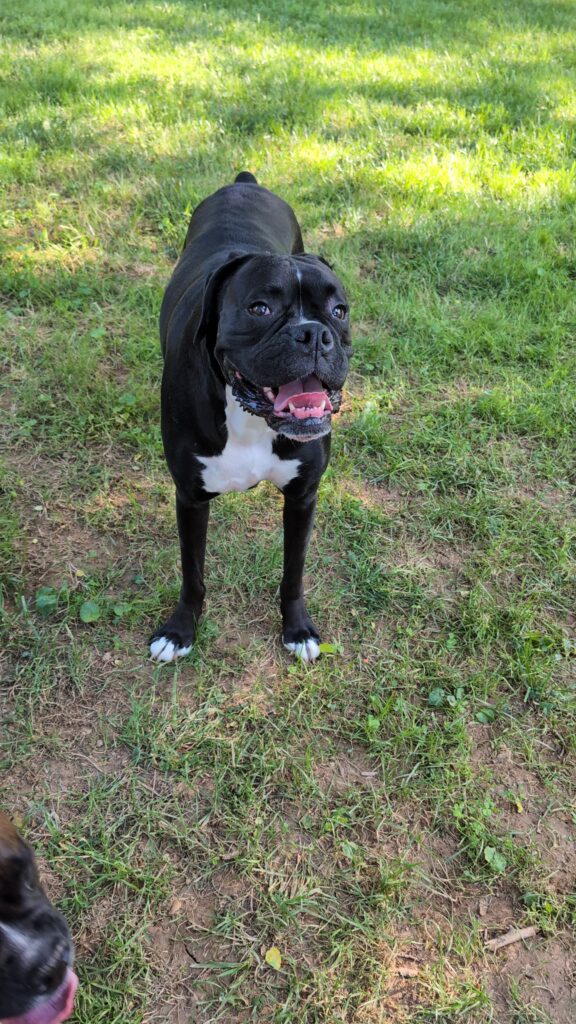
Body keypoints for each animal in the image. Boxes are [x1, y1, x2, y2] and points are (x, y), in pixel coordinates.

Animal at [147, 169, 350, 663]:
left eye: (339, 311)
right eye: (260, 308)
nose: (314, 334)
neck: (250, 417)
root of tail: (244, 182)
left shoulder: (302, 497)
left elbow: (293, 572)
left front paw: (297, 629)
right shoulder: (190, 498)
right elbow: (193, 573)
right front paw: (179, 630)